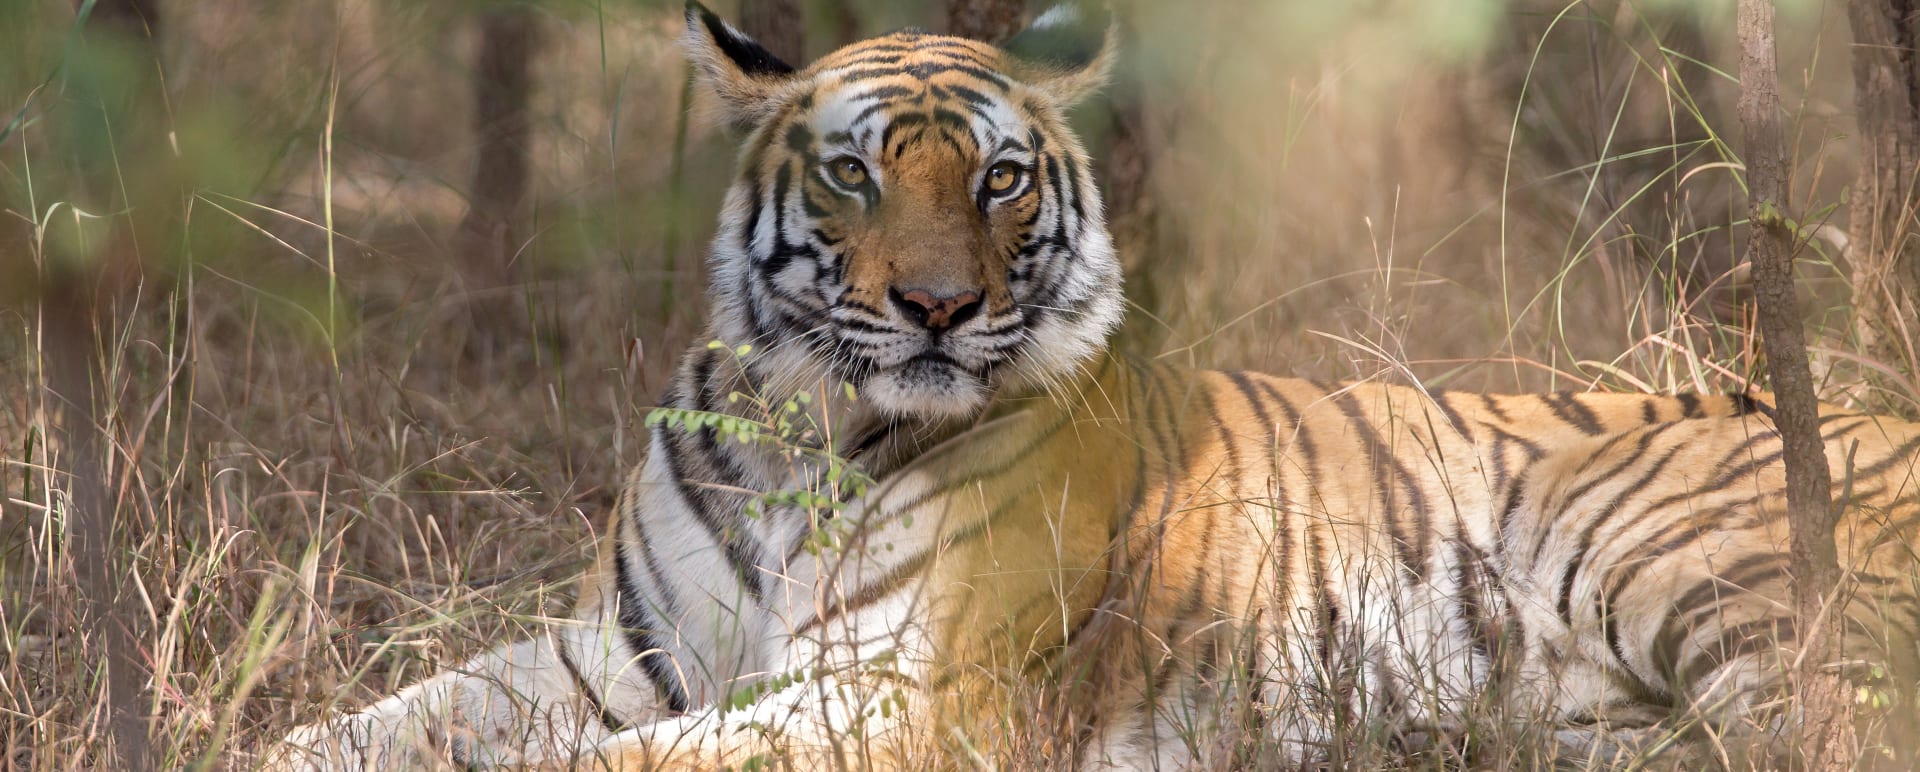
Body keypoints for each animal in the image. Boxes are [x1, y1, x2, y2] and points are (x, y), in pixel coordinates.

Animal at [269, 3, 1920, 769]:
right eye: (855, 173)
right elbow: (394, 714)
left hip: (1693, 570)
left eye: (999, 180)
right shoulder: (625, 643)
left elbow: (616, 760)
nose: (938, 307)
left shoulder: (893, 694)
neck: (805, 429)